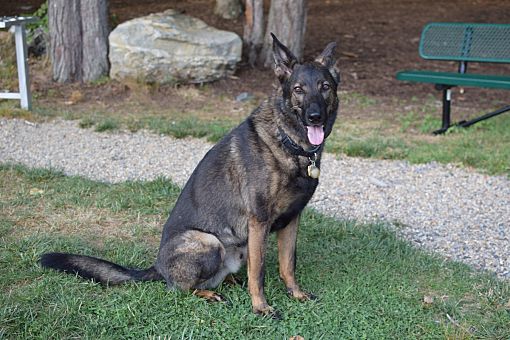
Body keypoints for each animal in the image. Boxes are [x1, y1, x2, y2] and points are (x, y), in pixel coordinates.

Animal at [39, 34, 338, 316]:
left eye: (325, 87)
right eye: (298, 90)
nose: (314, 117)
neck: (288, 142)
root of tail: (157, 267)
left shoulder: (292, 220)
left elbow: (288, 264)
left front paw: (295, 294)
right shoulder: (259, 222)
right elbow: (259, 271)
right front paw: (261, 307)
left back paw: (230, 282)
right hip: (210, 242)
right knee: (180, 288)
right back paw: (210, 293)